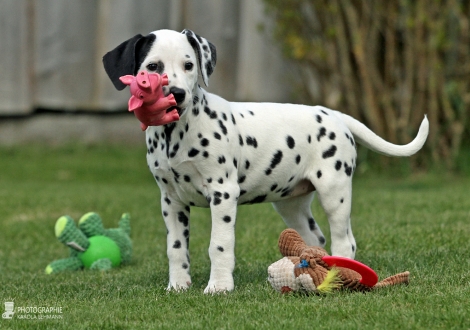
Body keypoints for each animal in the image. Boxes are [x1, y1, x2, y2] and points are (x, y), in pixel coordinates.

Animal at [103, 27, 430, 292]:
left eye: (189, 65)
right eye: (153, 67)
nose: (177, 94)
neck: (177, 133)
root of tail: (334, 114)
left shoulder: (223, 193)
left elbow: (219, 245)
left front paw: (219, 287)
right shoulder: (171, 200)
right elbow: (176, 248)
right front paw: (178, 285)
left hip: (334, 191)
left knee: (344, 241)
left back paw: (339, 275)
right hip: (291, 204)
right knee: (315, 239)